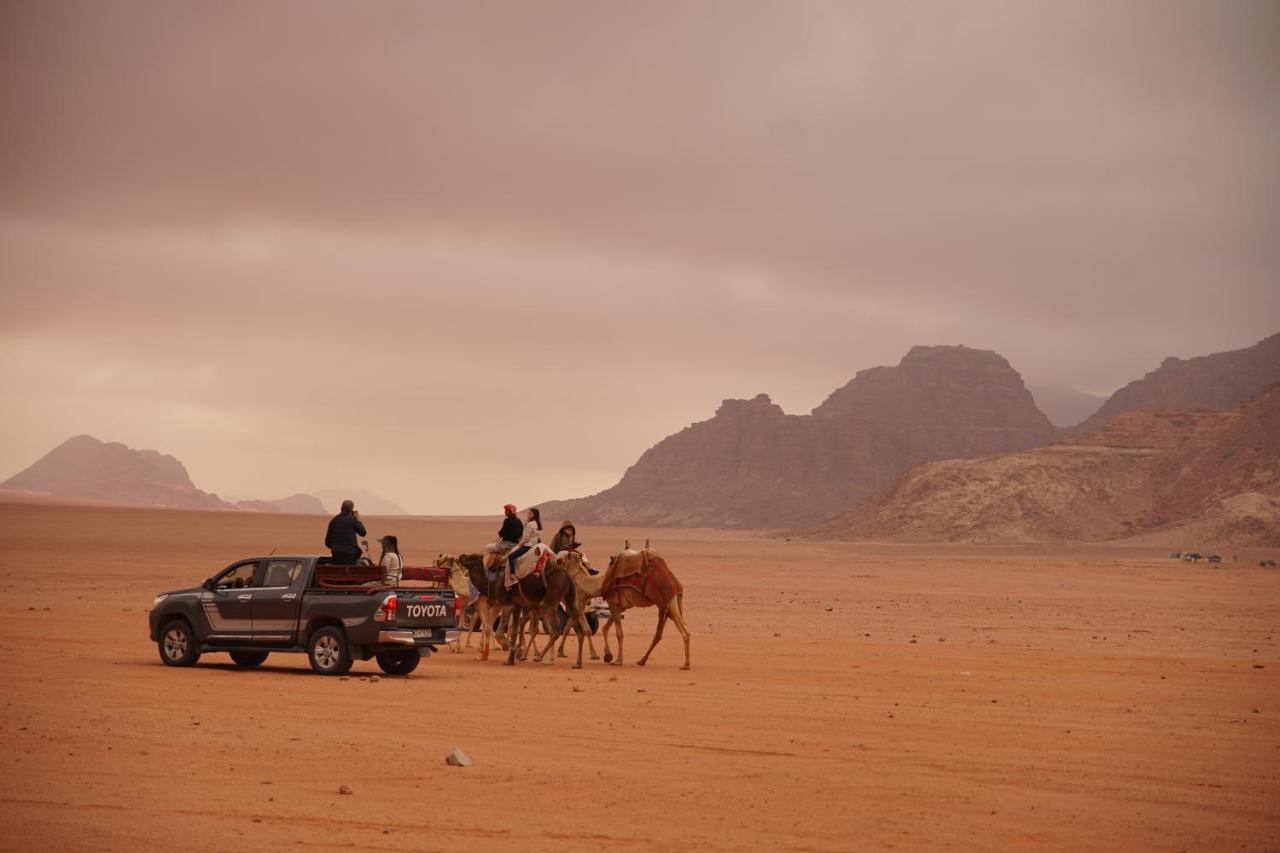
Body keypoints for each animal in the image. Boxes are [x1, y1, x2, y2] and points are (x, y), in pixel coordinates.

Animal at [599, 537, 691, 671]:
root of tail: (677, 586)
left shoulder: (614, 602)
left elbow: (619, 633)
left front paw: (618, 660)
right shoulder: (622, 606)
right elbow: (605, 628)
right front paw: (608, 656)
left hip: (668, 602)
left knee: (681, 632)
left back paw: (685, 664)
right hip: (668, 605)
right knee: (663, 634)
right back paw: (643, 660)